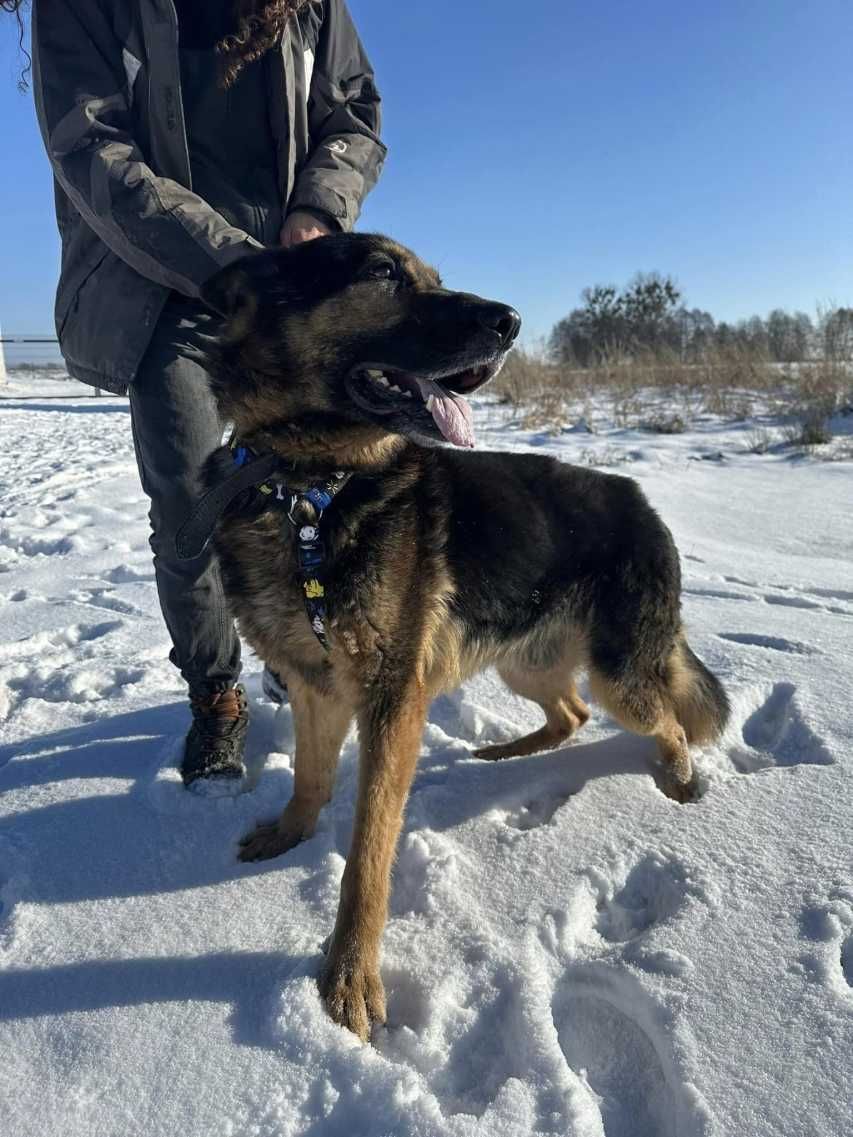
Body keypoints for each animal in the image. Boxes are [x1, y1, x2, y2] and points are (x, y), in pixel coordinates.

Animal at [196, 235, 732, 1041]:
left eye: (434, 276)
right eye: (383, 272)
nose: (510, 322)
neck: (309, 488)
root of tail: (642, 502)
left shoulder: (391, 701)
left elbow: (368, 854)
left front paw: (350, 978)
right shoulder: (314, 684)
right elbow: (310, 778)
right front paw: (290, 832)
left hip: (619, 678)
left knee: (664, 720)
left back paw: (677, 782)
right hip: (524, 664)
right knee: (570, 713)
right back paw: (504, 753)